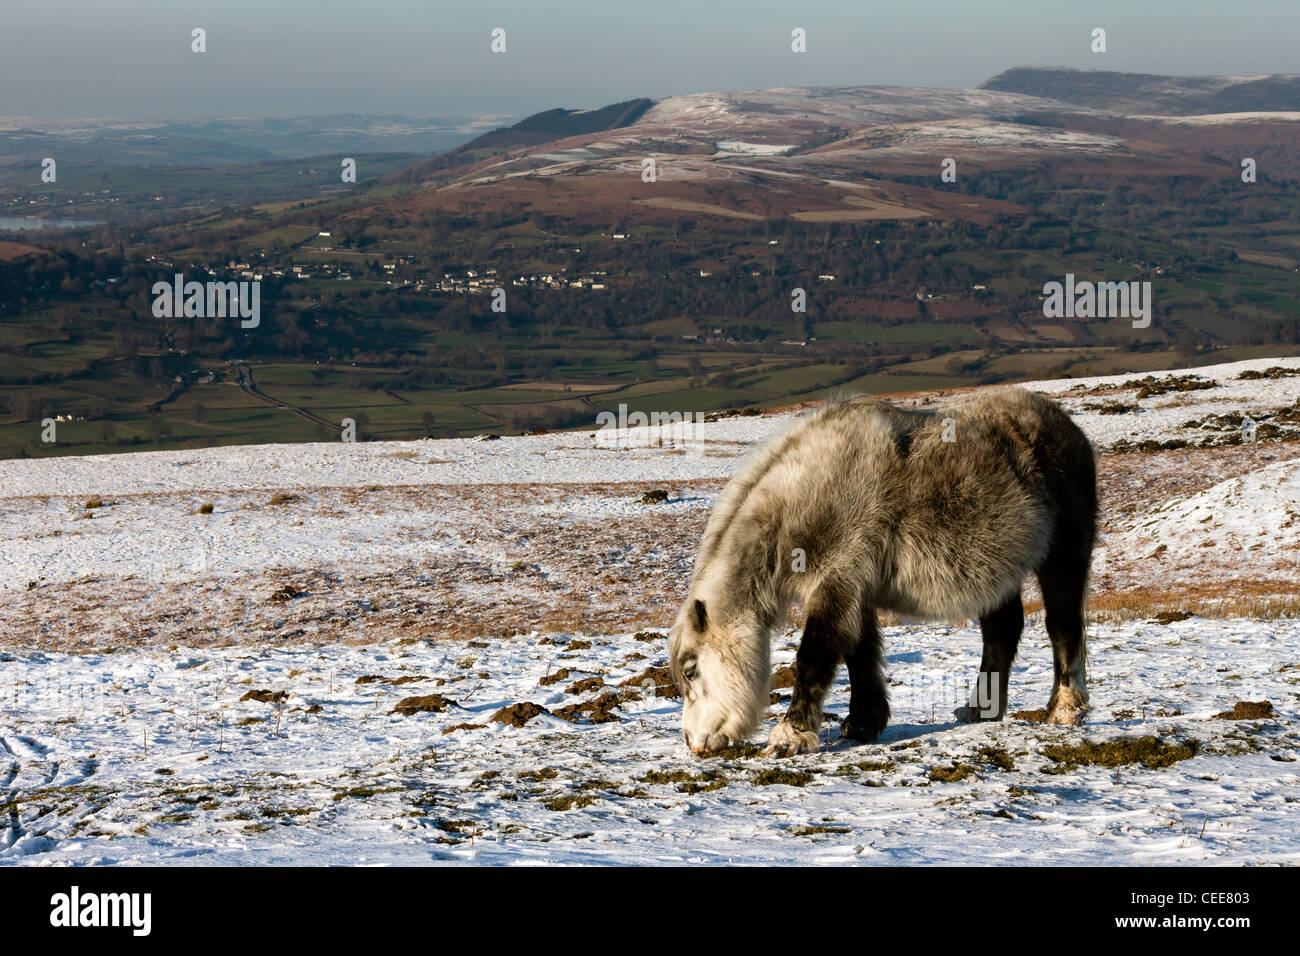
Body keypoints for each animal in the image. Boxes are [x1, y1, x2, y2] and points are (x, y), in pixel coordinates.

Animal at [670, 390, 1097, 754]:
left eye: (690, 670)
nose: (693, 742)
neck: (806, 497)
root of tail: (1069, 428)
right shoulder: (855, 589)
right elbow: (860, 654)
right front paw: (863, 723)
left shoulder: (837, 580)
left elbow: (814, 654)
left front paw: (791, 735)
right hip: (997, 570)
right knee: (1002, 633)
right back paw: (980, 709)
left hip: (1064, 556)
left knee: (1062, 626)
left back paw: (1064, 709)